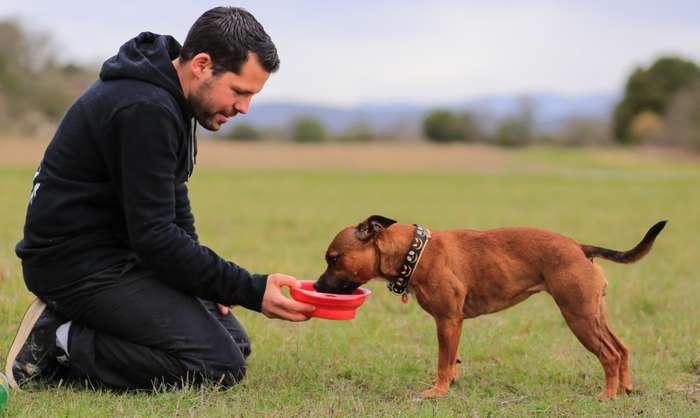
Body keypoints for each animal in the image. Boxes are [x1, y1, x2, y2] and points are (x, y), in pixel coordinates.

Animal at [314, 216, 664, 398]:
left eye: (334, 259)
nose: (317, 286)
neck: (416, 252)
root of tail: (579, 248)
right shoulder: (454, 324)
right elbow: (452, 358)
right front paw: (451, 381)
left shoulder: (447, 320)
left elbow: (442, 360)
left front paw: (438, 391)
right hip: (594, 314)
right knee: (622, 348)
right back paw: (626, 387)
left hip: (578, 317)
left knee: (610, 354)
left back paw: (607, 395)